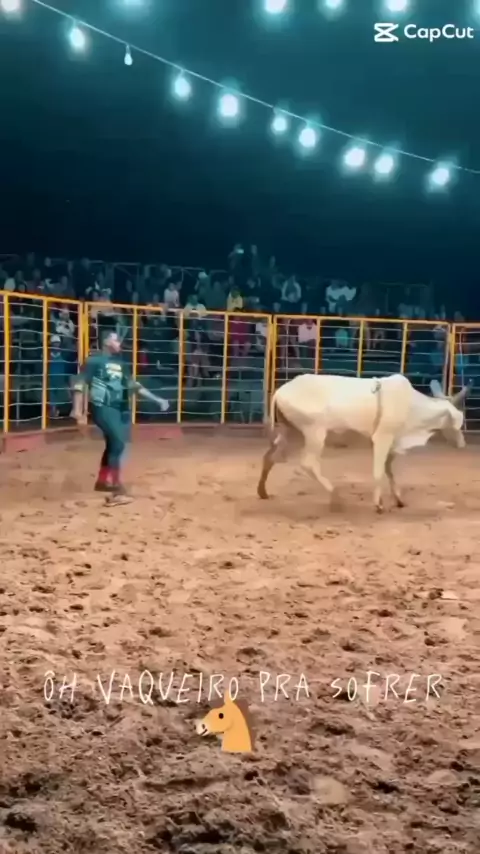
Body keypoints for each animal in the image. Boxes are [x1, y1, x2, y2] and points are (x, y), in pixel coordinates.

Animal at [256, 373, 468, 513]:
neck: (412, 407)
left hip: (289, 431)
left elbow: (389, 470)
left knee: (270, 457)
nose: (462, 443)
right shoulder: (383, 437)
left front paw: (399, 499)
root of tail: (280, 391)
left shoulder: (391, 443)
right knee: (308, 463)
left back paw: (263, 492)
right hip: (314, 433)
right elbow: (378, 471)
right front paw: (378, 504)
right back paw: (336, 497)